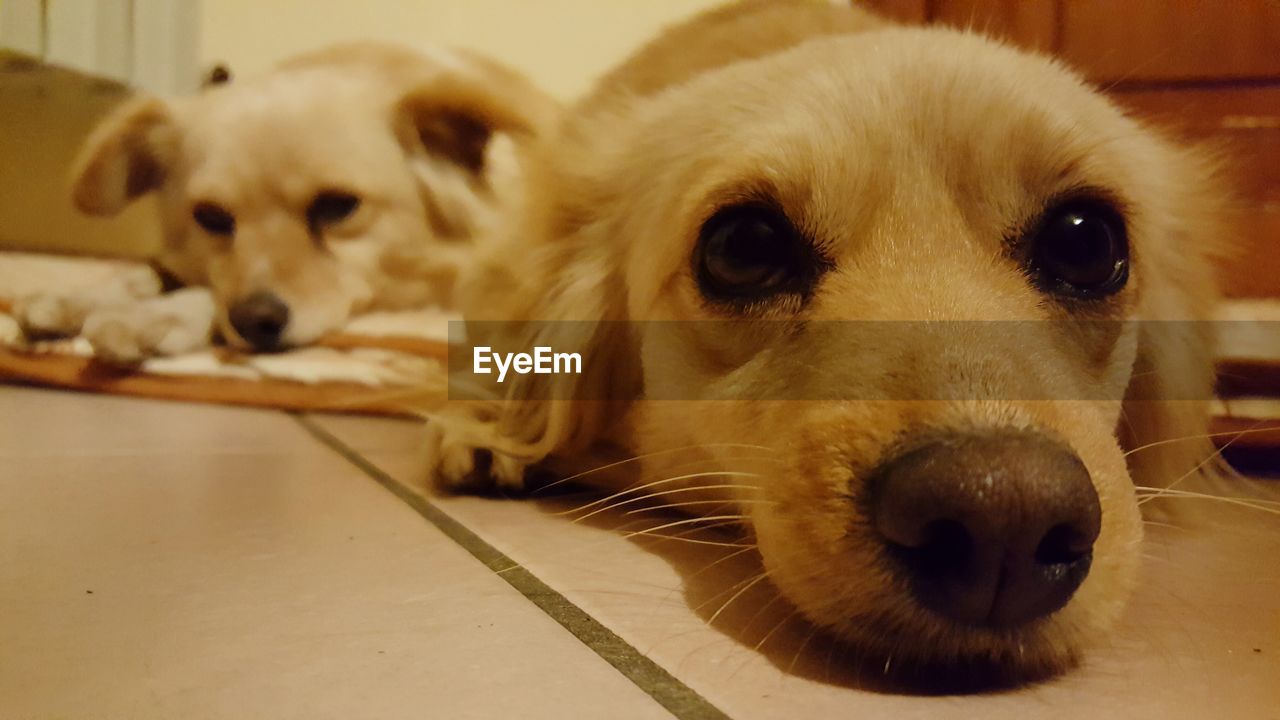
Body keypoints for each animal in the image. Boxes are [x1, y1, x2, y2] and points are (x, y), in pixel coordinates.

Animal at [15, 43, 555, 363]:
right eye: (210, 217)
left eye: (337, 206)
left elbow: (202, 293)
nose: (256, 322)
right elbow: (148, 272)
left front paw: (153, 317)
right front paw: (79, 299)